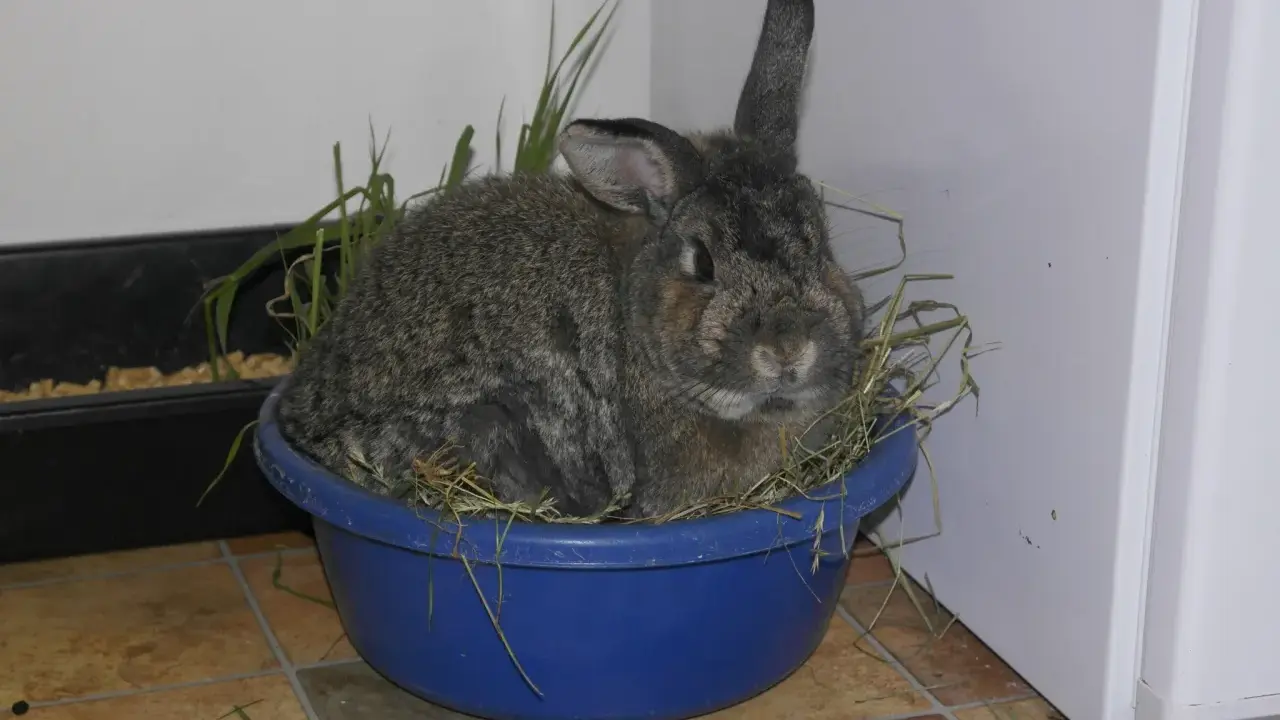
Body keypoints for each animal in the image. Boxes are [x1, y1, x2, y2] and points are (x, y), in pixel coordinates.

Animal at [277, 0, 865, 518]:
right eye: (702, 263)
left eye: (820, 242)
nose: (788, 348)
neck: (638, 331)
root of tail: (305, 423)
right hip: (492, 428)